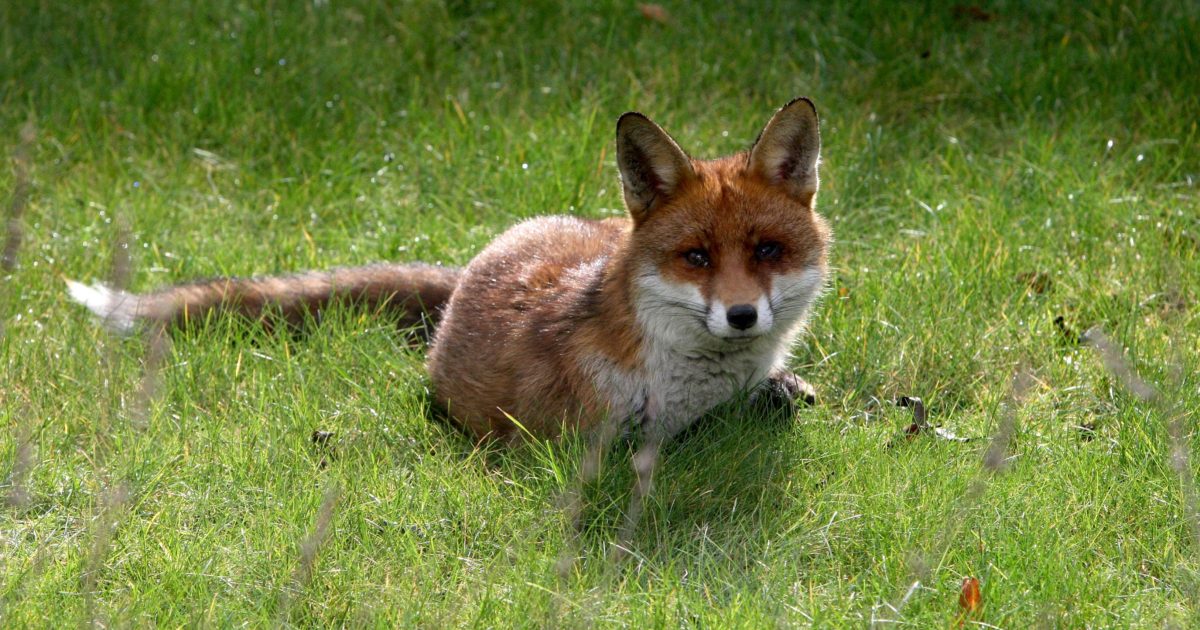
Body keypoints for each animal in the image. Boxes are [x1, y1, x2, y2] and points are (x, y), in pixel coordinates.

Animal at [65, 97, 830, 451]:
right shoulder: (582, 445)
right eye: (695, 257)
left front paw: (779, 387)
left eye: (768, 251)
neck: (692, 385)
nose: (741, 316)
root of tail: (471, 268)